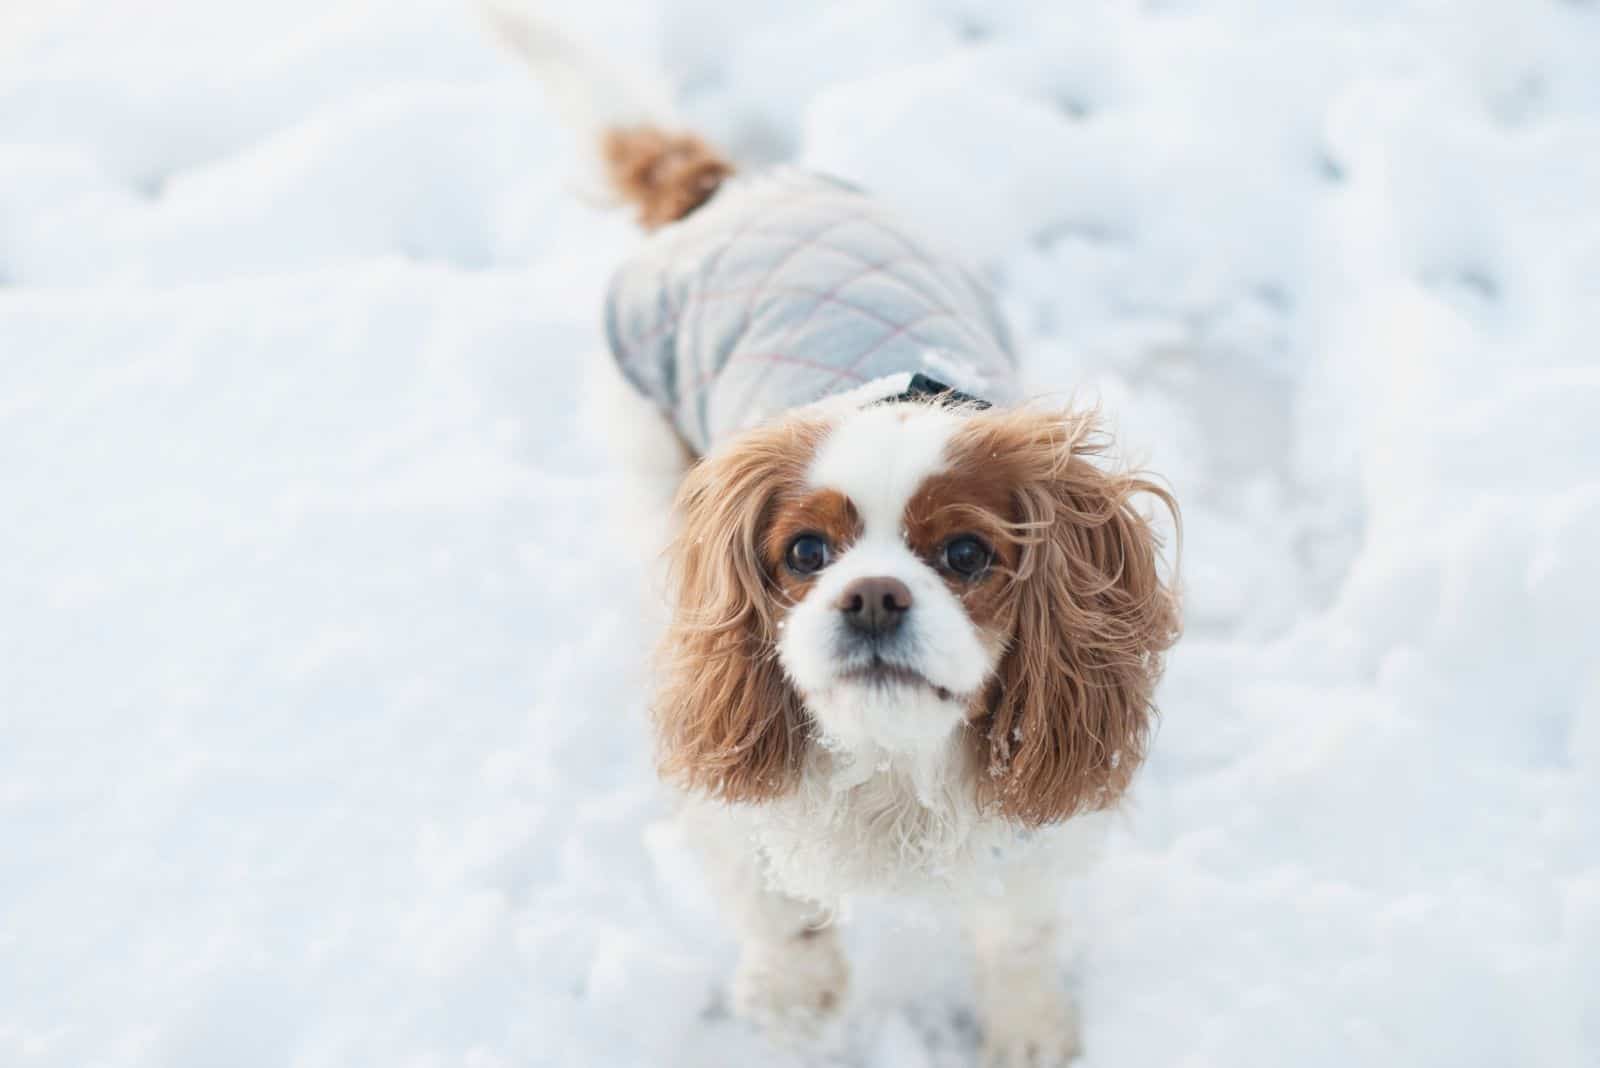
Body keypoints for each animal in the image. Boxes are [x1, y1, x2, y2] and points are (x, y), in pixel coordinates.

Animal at [480, 6, 1184, 1061]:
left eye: (967, 555)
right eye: (805, 554)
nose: (874, 597)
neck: (892, 761)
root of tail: (725, 187)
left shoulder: (1025, 831)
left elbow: (1016, 931)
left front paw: (1027, 1027)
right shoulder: (738, 811)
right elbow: (776, 908)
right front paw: (796, 1002)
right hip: (649, 455)